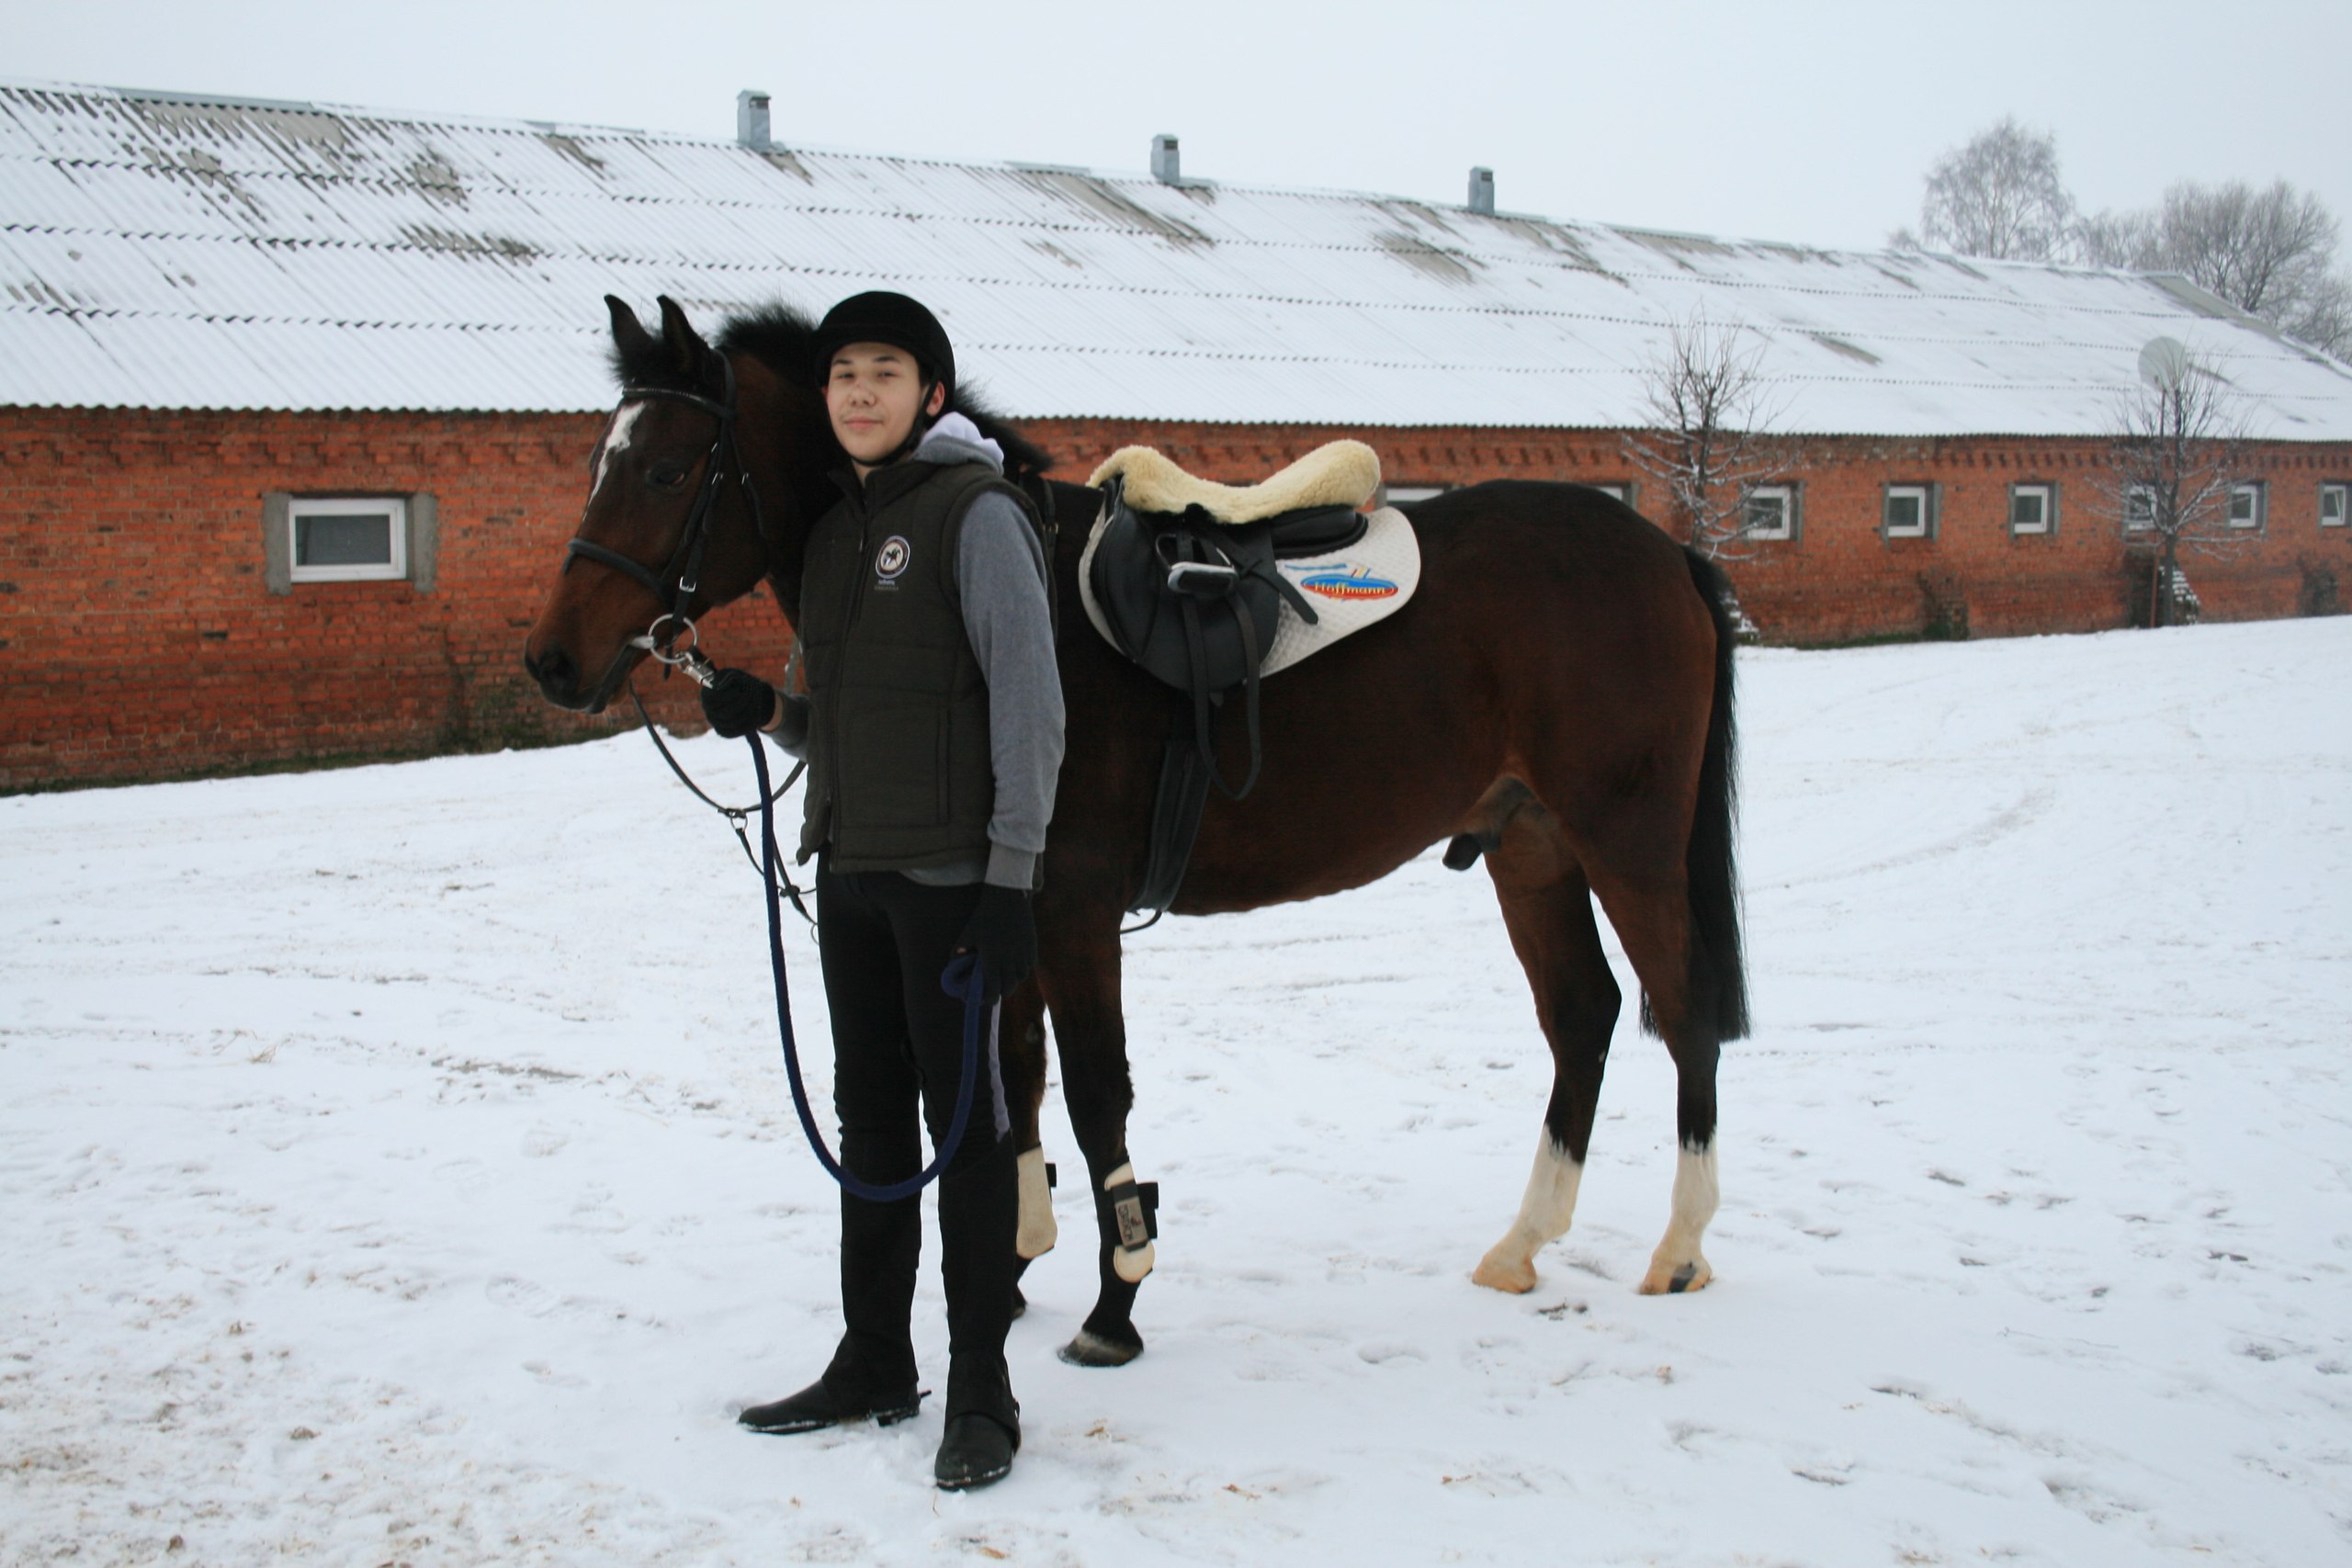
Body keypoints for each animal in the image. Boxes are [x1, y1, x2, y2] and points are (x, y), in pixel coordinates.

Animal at [523, 295, 1748, 1368]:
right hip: (1529, 845)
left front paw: (1113, 1306)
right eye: (596, 465)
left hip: (1626, 839)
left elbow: (1092, 1094)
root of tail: (1661, 553)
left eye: (668, 469)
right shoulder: (1002, 912)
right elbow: (1013, 1078)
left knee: (1681, 1009)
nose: (552, 662)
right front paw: (1016, 1262)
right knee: (1583, 1015)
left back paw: (1682, 1250)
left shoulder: (1072, 911)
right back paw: (1521, 1246)